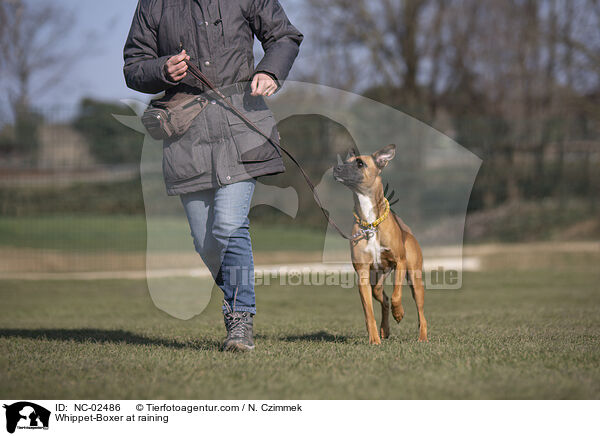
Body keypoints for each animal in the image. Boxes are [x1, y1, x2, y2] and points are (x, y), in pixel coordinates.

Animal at [332, 145, 426, 342]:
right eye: (345, 161)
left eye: (360, 163)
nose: (336, 168)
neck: (370, 223)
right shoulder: (363, 274)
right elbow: (369, 312)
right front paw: (374, 339)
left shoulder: (400, 262)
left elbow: (397, 294)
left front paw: (399, 313)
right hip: (376, 281)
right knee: (383, 299)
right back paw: (384, 330)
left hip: (414, 278)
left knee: (420, 311)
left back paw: (423, 337)